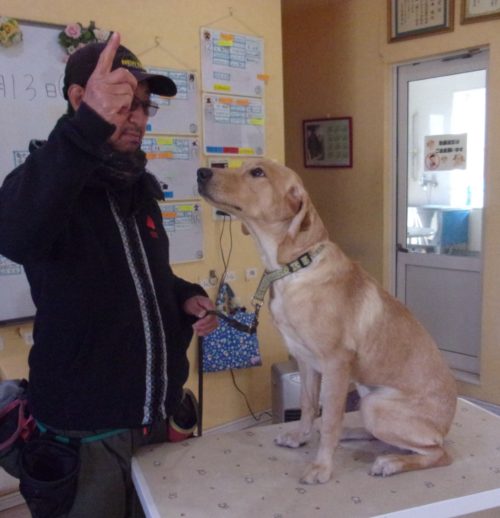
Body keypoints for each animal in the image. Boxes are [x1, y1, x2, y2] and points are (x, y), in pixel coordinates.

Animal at [197, 159, 457, 484]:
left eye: (257, 173)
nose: (201, 173)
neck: (294, 268)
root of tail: (445, 425)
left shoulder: (336, 363)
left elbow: (331, 417)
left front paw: (322, 467)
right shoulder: (305, 359)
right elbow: (308, 406)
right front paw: (300, 437)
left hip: (375, 405)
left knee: (440, 453)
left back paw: (391, 462)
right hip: (366, 395)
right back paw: (354, 434)